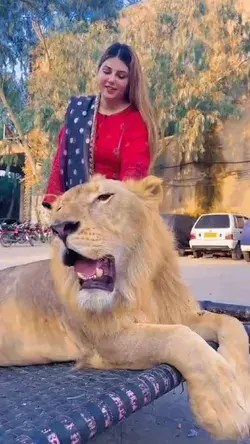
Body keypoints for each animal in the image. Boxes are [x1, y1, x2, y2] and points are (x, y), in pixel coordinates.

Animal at [0, 176, 249, 440]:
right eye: (58, 208)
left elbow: (230, 322)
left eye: (104, 197)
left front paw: (242, 390)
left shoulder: (178, 314)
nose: (59, 229)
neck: (137, 287)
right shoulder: (107, 341)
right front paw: (225, 409)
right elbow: (178, 337)